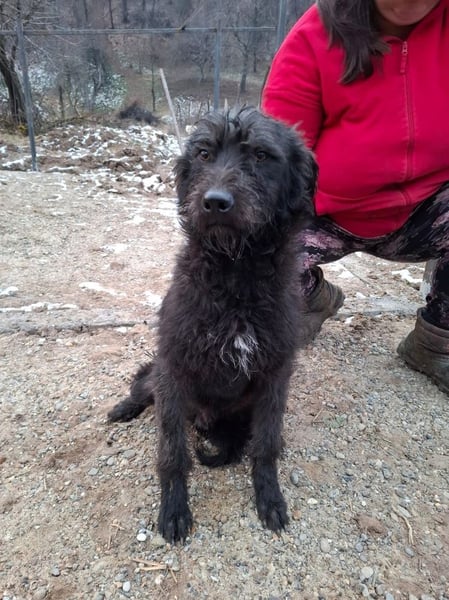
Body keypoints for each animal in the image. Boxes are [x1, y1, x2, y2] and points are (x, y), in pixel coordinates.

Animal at [108, 107, 317, 543]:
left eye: (260, 155)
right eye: (204, 154)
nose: (215, 202)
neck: (235, 272)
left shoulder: (275, 374)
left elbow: (266, 444)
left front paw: (269, 496)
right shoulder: (173, 366)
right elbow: (172, 452)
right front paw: (174, 507)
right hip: (159, 378)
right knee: (143, 388)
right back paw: (124, 408)